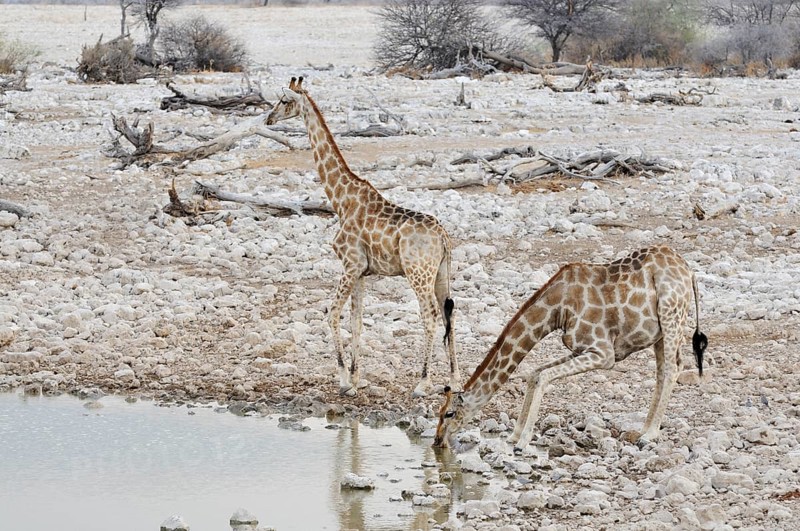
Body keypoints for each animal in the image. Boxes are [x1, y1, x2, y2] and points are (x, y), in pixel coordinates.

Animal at [265, 77, 460, 397]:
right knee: (449, 313)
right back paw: (454, 381)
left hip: (418, 273)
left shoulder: (350, 264)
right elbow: (356, 321)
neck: (340, 200)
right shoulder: (361, 272)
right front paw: (356, 378)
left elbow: (332, 313)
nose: (268, 119)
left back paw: (422, 383)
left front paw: (344, 379)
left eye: (283, 101)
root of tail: (443, 236)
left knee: (430, 315)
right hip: (442, 272)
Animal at [433, 245, 708, 452]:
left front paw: (523, 441)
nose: (437, 441)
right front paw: (513, 436)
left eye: (449, 414)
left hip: (672, 315)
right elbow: (534, 374)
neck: (557, 309)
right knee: (662, 371)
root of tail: (689, 272)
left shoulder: (603, 353)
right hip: (660, 331)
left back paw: (650, 435)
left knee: (673, 368)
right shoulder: (580, 349)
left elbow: (543, 376)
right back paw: (643, 430)